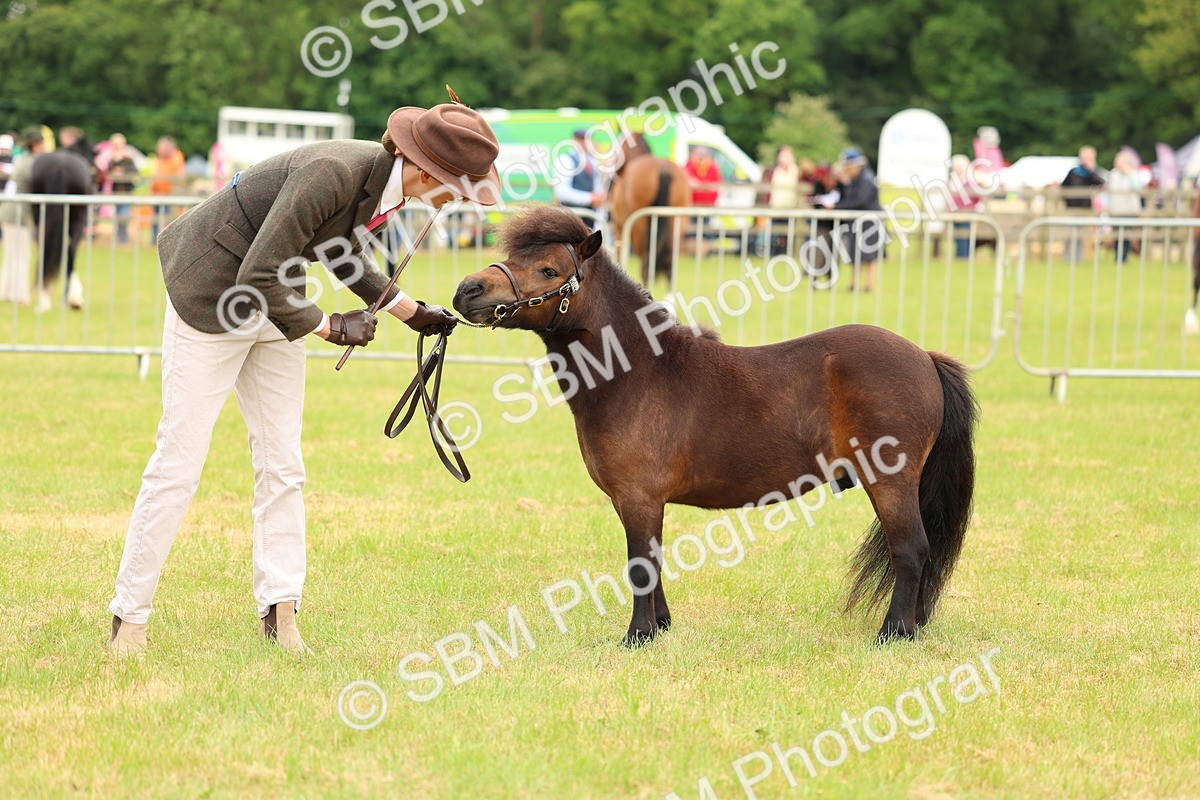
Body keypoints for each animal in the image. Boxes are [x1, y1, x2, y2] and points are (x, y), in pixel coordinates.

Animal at [452, 207, 978, 645]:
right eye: (511, 257)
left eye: (548, 270)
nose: (467, 291)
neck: (638, 372)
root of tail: (924, 358)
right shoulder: (638, 502)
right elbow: (653, 560)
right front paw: (661, 626)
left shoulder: (638, 497)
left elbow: (639, 565)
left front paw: (637, 637)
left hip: (890, 480)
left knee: (911, 549)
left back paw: (894, 633)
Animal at [606, 131, 690, 287]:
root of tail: (662, 170)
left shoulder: (620, 228)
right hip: (677, 223)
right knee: (669, 266)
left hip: (640, 227)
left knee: (646, 265)